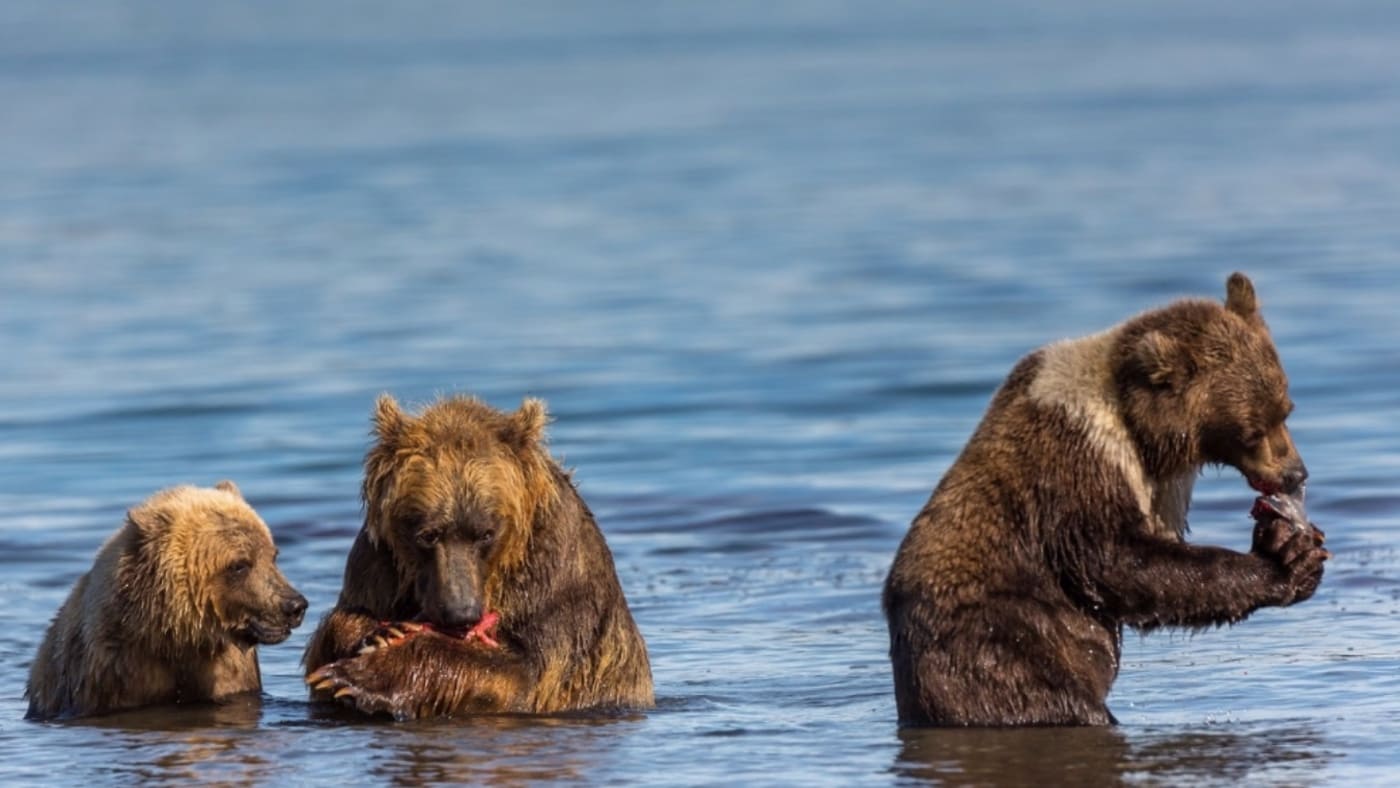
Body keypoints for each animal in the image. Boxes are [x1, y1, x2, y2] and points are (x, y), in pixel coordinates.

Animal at [303, 394, 652, 722]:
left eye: (486, 533)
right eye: (427, 535)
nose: (461, 612)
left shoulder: (556, 580)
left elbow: (527, 675)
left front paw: (358, 676)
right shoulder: (378, 565)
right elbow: (330, 638)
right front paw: (381, 632)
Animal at [884, 272, 1332, 727]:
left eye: (1285, 410)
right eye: (1252, 429)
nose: (1295, 473)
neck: (1142, 433)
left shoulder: (1162, 487)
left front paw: (1283, 538)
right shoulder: (1076, 461)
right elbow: (1116, 561)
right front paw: (1283, 562)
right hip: (1002, 642)